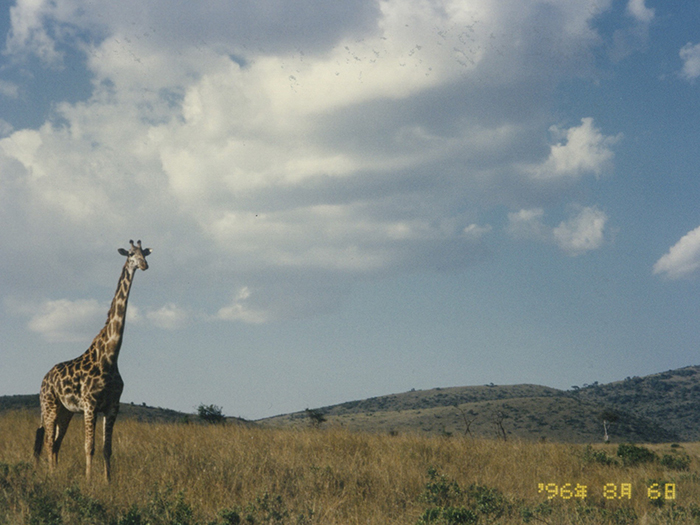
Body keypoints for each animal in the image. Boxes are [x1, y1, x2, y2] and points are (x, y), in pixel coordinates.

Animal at [33, 239, 151, 482]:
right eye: (131, 254)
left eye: (144, 253)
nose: (144, 265)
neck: (110, 357)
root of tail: (44, 378)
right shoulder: (90, 405)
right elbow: (89, 447)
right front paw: (88, 481)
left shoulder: (112, 406)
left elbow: (107, 448)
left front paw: (108, 481)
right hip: (49, 405)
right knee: (47, 441)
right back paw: (51, 475)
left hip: (66, 411)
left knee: (56, 443)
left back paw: (55, 473)